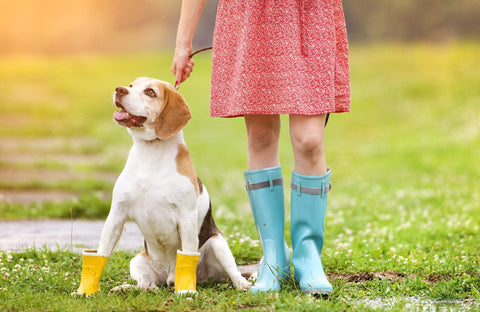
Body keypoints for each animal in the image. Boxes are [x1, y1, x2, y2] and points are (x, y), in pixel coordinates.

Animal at [100, 77, 253, 292]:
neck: (151, 152)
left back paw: (242, 284)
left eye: (150, 92)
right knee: (148, 286)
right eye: (131, 86)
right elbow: (101, 252)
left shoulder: (186, 217)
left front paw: (186, 291)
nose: (119, 90)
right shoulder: (117, 214)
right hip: (137, 261)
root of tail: (167, 277)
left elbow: (188, 253)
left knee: (233, 273)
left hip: (218, 244)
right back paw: (127, 288)